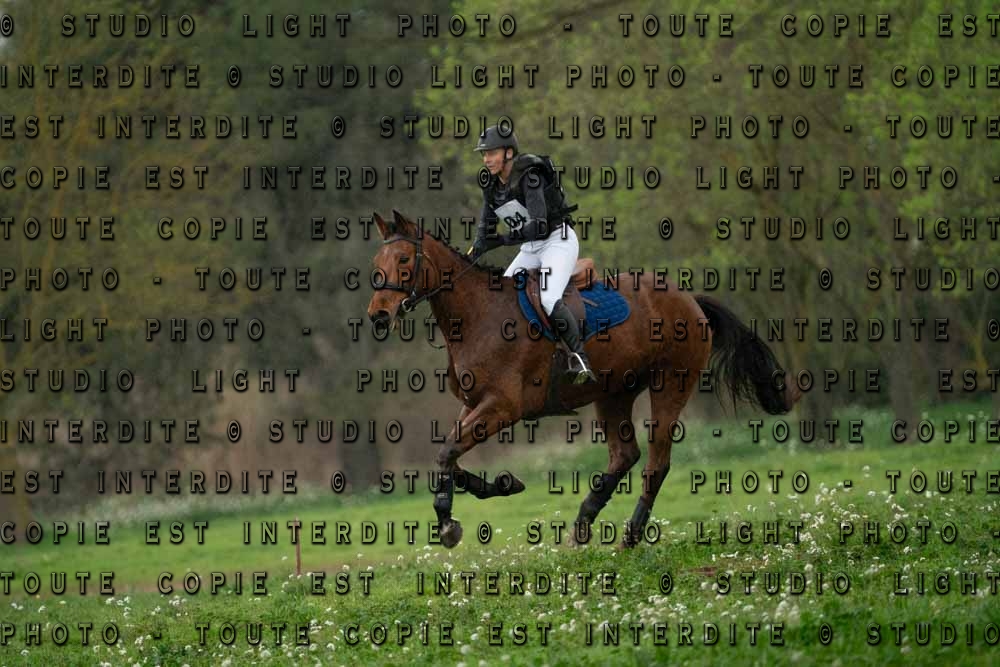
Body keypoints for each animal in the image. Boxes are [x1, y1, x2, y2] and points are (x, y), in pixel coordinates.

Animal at [366, 209, 801, 550]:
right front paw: (503, 485)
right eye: (377, 260)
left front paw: (447, 523)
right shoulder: (474, 405)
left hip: (671, 384)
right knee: (625, 455)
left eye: (403, 257)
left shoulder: (503, 407)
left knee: (656, 462)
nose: (378, 316)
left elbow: (446, 453)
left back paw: (630, 535)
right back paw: (582, 522)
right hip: (612, 393)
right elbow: (450, 456)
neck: (477, 316)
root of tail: (690, 300)